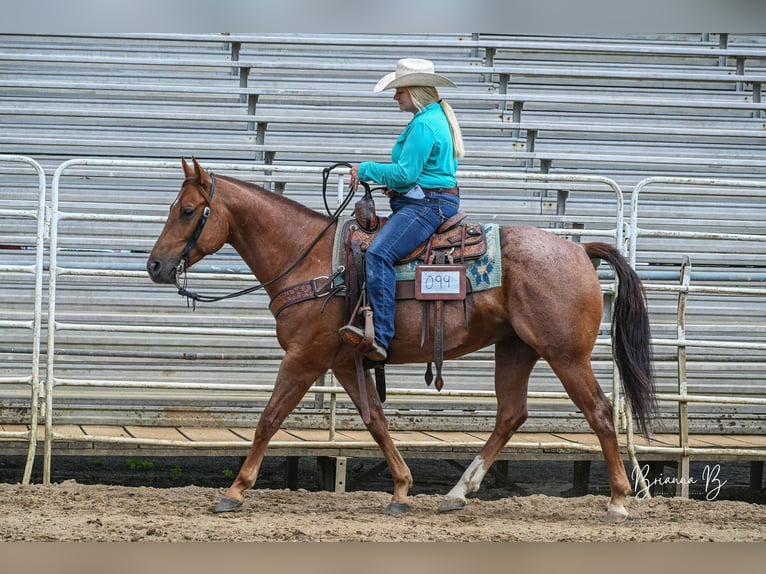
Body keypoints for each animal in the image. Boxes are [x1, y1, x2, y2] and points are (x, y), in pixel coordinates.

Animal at [147, 158, 657, 523]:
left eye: (187, 211)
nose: (155, 265)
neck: (310, 259)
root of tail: (579, 249)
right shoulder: (342, 361)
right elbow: (375, 421)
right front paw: (401, 489)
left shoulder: (304, 357)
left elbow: (269, 419)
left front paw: (234, 491)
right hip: (516, 349)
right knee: (511, 414)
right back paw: (456, 494)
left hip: (566, 355)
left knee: (599, 412)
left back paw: (618, 501)